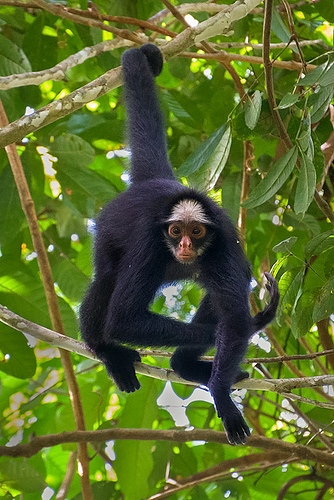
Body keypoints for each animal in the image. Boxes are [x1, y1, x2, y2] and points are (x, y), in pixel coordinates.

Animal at [81, 44, 280, 446]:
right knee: (107, 279)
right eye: (175, 232)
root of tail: (158, 183)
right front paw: (231, 334)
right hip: (110, 231)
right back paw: (108, 351)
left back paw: (185, 365)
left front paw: (219, 386)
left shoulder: (225, 242)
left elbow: (233, 316)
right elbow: (124, 319)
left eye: (197, 233)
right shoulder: (149, 242)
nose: (186, 244)